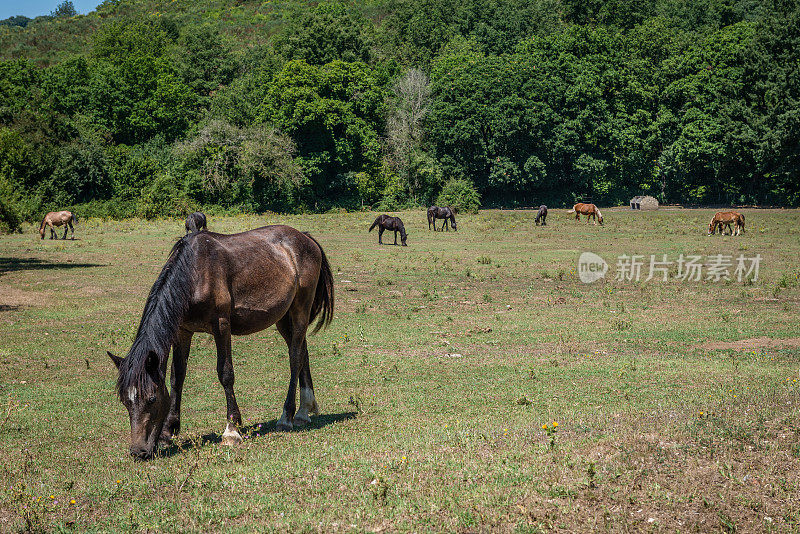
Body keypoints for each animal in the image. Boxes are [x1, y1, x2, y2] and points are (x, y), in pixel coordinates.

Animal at [106, 226, 332, 460]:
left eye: (151, 399)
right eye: (125, 401)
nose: (138, 451)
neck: (195, 274)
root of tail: (304, 237)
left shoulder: (221, 325)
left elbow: (225, 373)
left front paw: (232, 430)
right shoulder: (183, 331)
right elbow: (177, 378)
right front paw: (168, 432)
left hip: (299, 309)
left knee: (295, 357)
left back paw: (287, 416)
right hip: (283, 318)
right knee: (302, 351)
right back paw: (304, 411)